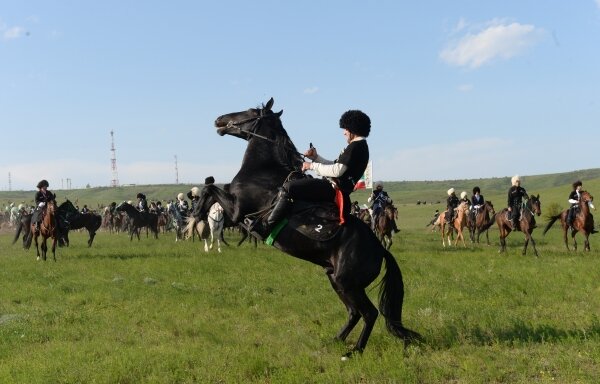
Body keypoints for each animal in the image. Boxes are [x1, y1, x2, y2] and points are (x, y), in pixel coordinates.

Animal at [195, 97, 420, 356]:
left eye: (251, 111)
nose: (219, 120)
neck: (263, 171)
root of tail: (380, 250)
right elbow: (210, 187)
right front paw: (197, 215)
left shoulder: (236, 212)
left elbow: (211, 187)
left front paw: (196, 213)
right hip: (336, 280)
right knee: (354, 312)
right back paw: (335, 340)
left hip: (348, 283)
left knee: (369, 313)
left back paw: (353, 351)